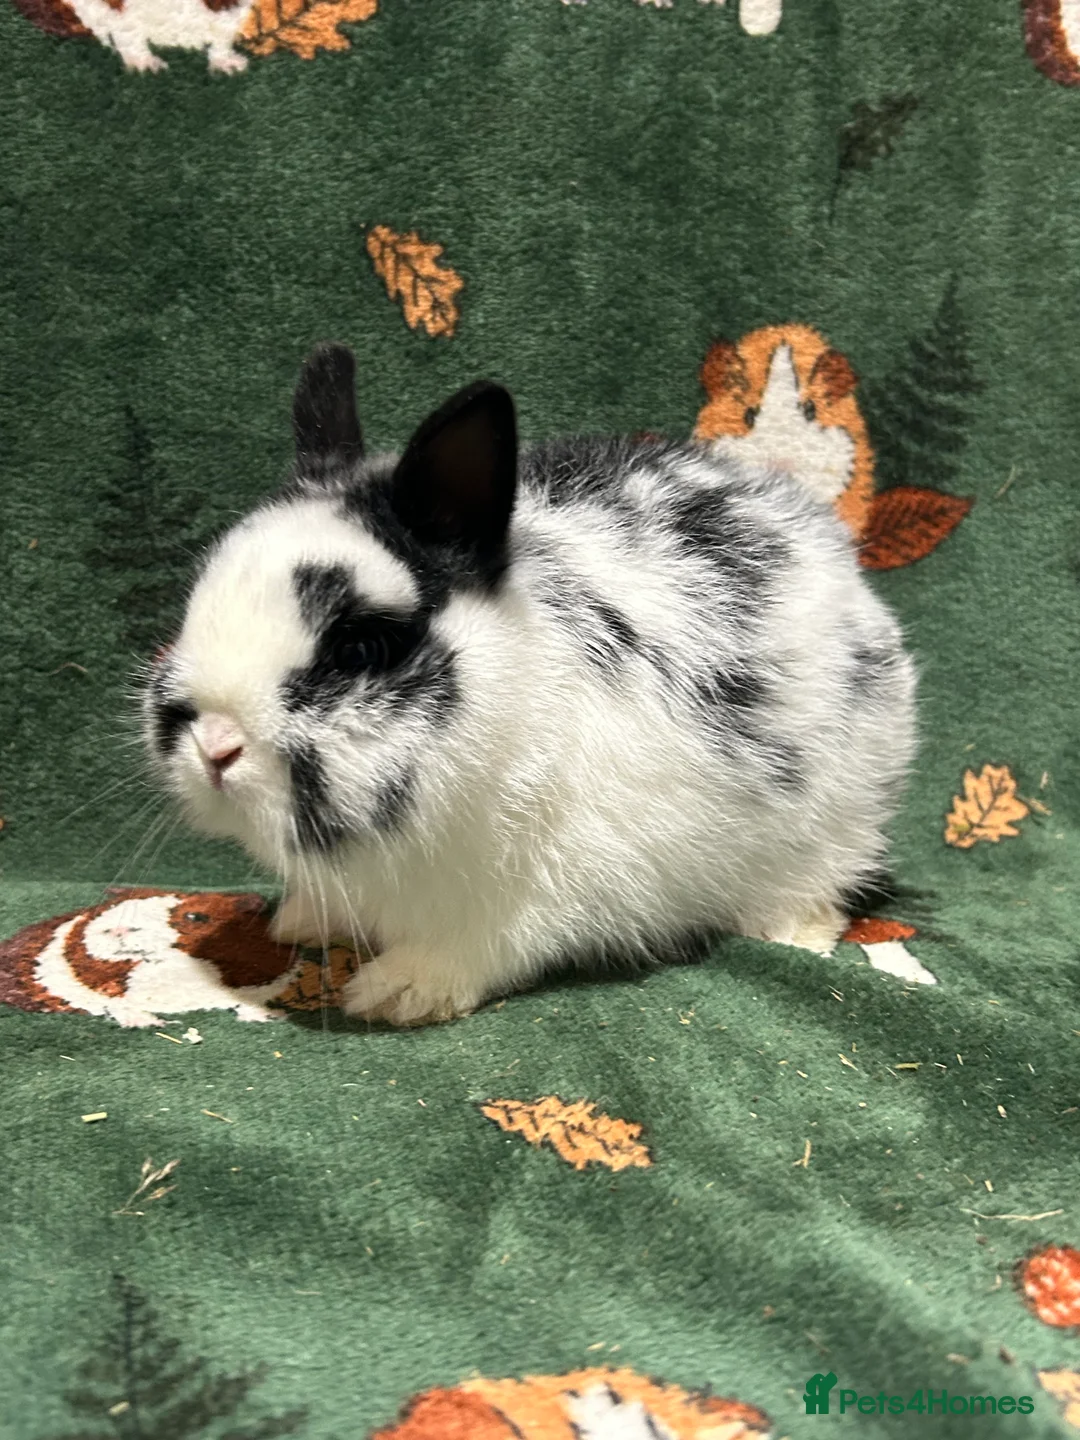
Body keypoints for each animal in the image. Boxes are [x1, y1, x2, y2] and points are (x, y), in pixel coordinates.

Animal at [142, 342, 916, 1026]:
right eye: (198, 602)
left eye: (361, 646)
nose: (214, 744)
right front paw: (300, 924)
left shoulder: (536, 896)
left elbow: (480, 945)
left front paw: (398, 992)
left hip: (834, 821)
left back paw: (793, 932)